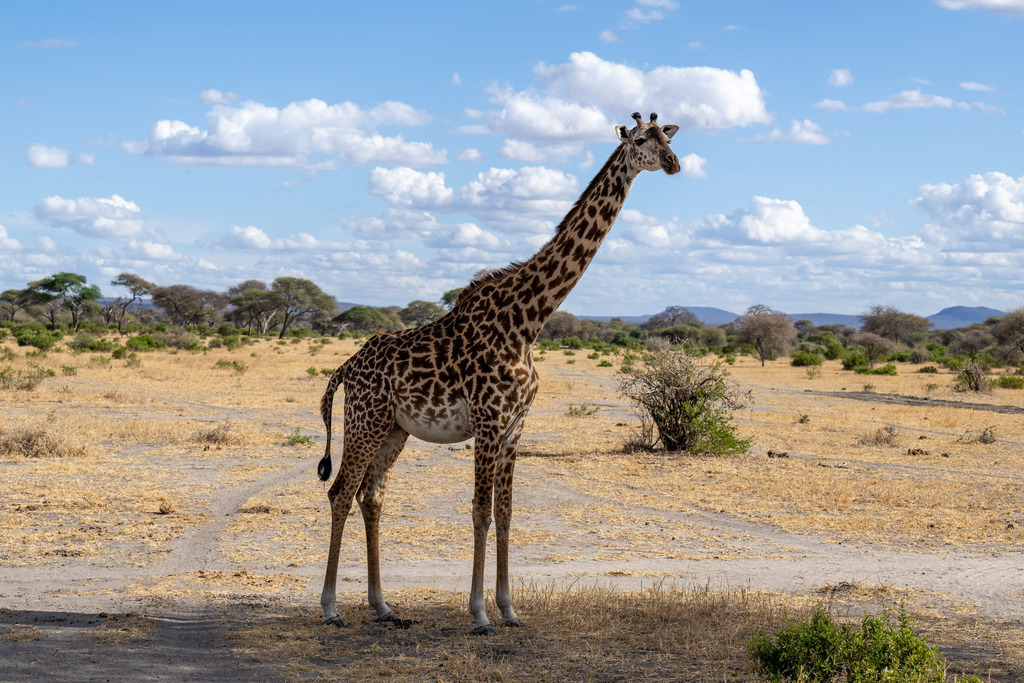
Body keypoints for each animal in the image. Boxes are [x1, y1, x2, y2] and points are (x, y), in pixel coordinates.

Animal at [317, 112, 680, 635]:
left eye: (667, 137)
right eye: (639, 141)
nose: (673, 163)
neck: (528, 321)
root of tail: (346, 366)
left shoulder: (515, 425)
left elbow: (507, 514)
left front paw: (510, 609)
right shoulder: (489, 421)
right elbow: (480, 512)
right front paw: (480, 614)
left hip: (394, 429)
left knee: (372, 496)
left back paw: (383, 606)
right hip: (365, 421)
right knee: (340, 492)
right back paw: (330, 607)